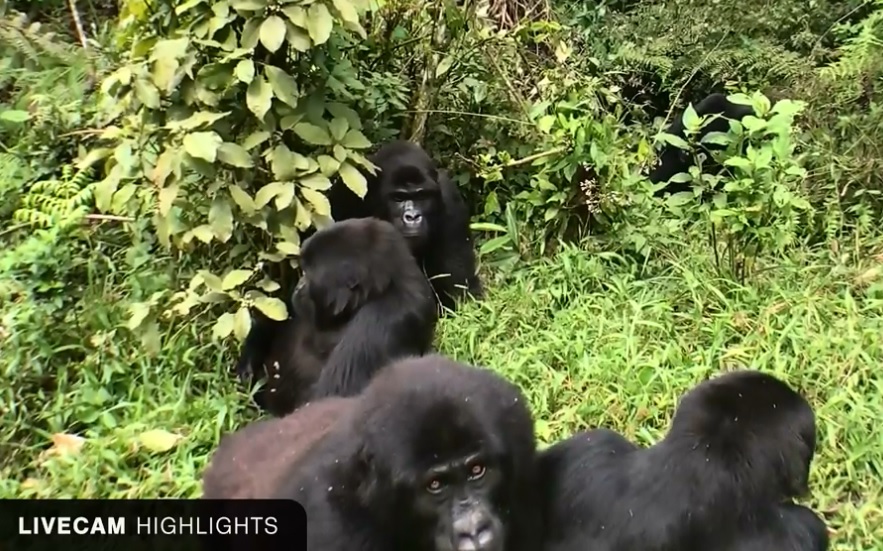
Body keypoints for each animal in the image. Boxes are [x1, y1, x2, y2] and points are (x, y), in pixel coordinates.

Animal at [330, 140, 484, 312]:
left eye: (422, 196)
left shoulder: (451, 201)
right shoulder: (345, 194)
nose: (412, 217)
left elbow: (461, 291)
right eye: (398, 198)